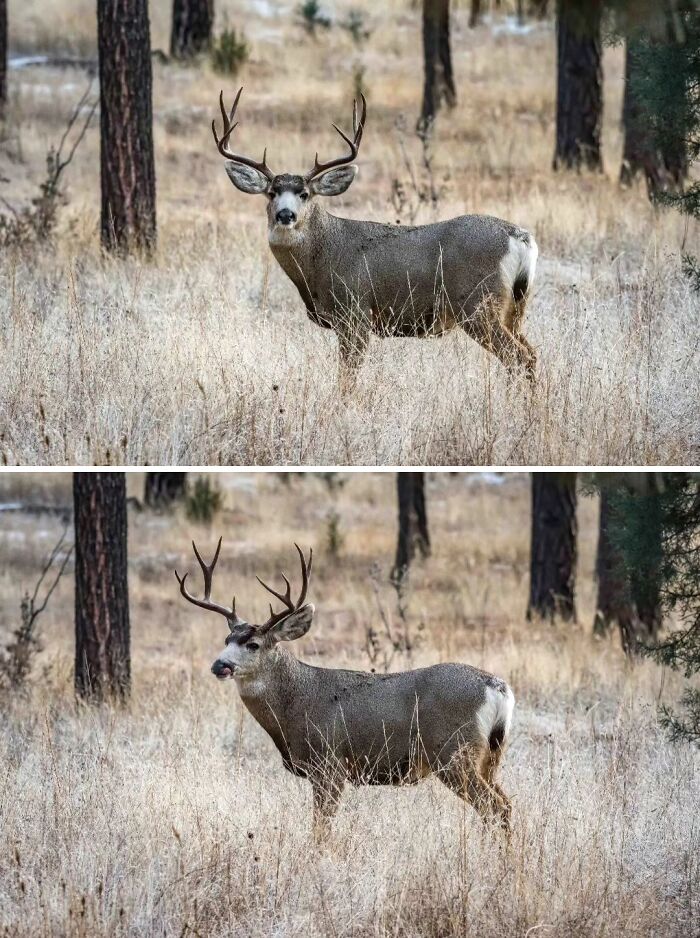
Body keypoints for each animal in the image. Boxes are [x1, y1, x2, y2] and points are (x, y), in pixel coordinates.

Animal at [175, 538, 515, 840]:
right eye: (227, 640)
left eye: (253, 644)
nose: (220, 665)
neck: (295, 706)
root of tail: (497, 688)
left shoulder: (330, 765)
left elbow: (320, 830)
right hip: (490, 755)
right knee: (506, 804)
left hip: (454, 753)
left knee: (494, 807)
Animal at [213, 88, 539, 390]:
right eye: (271, 193)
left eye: (304, 194)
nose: (285, 215)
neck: (322, 258)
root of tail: (521, 237)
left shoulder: (356, 313)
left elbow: (347, 378)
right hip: (515, 306)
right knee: (531, 354)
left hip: (477, 305)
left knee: (518, 356)